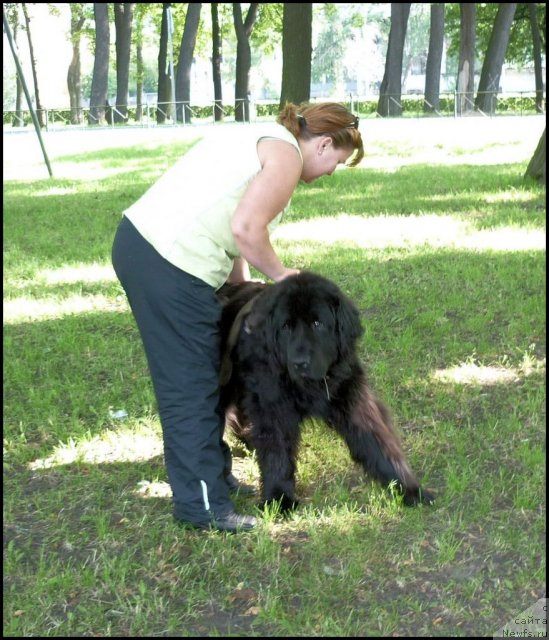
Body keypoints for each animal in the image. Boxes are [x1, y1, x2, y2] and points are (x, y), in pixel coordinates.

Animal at [217, 272, 432, 512]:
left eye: (317, 323)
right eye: (286, 326)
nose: (299, 363)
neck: (311, 386)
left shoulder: (352, 399)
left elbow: (378, 444)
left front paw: (408, 489)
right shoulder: (273, 406)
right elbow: (277, 453)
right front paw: (279, 498)